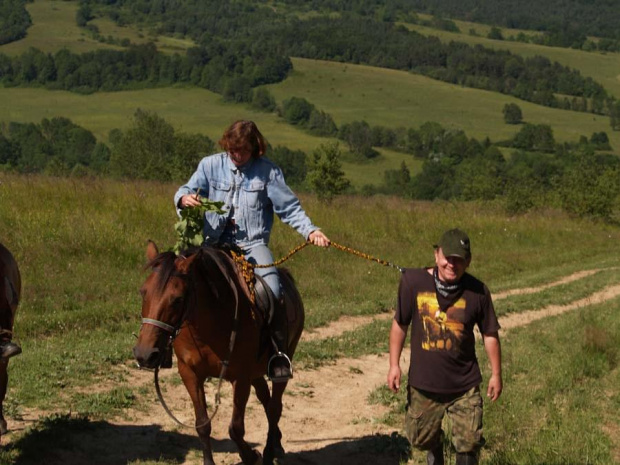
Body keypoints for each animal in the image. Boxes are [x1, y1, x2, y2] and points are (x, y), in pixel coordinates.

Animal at [133, 241, 306, 464]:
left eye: (178, 299)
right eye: (143, 292)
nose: (144, 354)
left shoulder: (240, 378)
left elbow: (236, 429)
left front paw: (252, 455)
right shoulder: (190, 374)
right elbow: (202, 424)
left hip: (283, 360)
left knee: (275, 407)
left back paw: (269, 452)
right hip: (256, 373)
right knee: (266, 400)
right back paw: (277, 444)